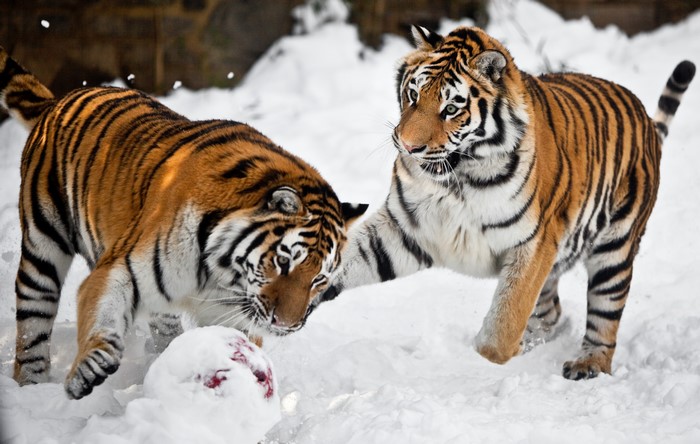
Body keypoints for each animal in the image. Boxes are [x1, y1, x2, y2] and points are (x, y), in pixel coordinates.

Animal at [0, 46, 367, 399]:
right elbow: (102, 315)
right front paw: (89, 369)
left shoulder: (233, 314)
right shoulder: (119, 268)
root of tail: (57, 102)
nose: (286, 326)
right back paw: (31, 389)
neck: (222, 276)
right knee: (32, 324)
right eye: (282, 261)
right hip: (42, 249)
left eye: (319, 279)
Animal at [315, 26, 695, 380]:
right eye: (412, 95)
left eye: (451, 109)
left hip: (615, 249)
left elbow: (502, 327)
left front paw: (491, 356)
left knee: (604, 315)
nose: (407, 147)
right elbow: (346, 260)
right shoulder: (404, 229)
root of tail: (645, 118)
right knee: (551, 312)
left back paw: (587, 364)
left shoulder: (534, 243)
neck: (458, 177)